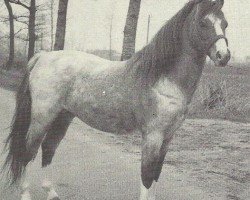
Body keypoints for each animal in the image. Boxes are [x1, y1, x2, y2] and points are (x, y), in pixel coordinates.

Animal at [3, 0, 230, 198]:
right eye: (203, 22)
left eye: (225, 24)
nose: (224, 56)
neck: (162, 79)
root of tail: (43, 57)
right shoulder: (152, 136)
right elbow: (147, 178)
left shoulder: (167, 138)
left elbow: (156, 175)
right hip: (42, 118)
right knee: (28, 151)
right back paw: (25, 193)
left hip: (63, 116)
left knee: (48, 148)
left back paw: (51, 193)